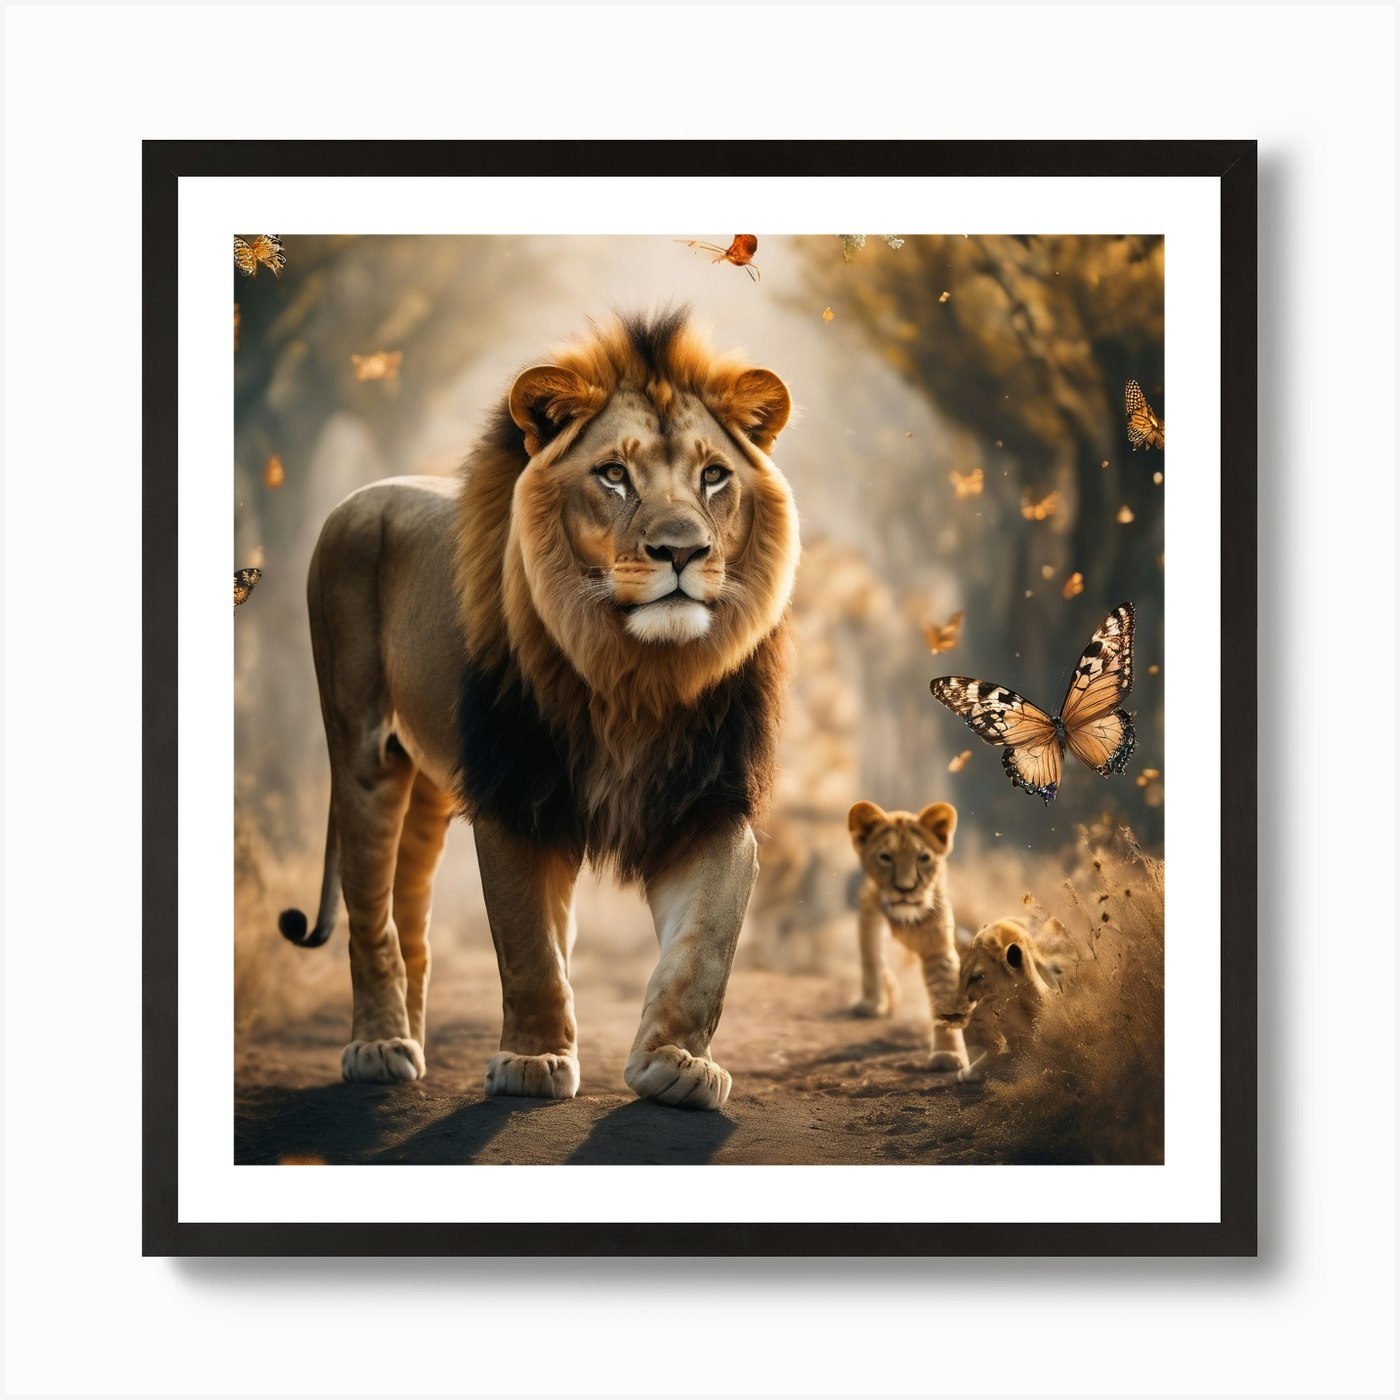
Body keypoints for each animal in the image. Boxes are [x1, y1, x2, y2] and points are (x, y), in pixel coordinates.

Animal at [277, 308, 799, 1109]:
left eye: (714, 475)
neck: (635, 673)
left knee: (412, 916)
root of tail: (362, 496)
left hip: (431, 781)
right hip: (361, 747)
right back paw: (380, 1047)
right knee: (372, 911)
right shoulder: (515, 796)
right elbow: (529, 947)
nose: (682, 551)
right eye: (614, 474)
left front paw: (676, 1063)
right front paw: (533, 1062)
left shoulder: (712, 802)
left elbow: (705, 946)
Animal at [846, 800, 969, 1072]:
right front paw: (872, 1002)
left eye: (923, 858)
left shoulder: (938, 948)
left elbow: (944, 1001)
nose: (905, 889)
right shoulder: (869, 909)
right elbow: (871, 958)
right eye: (885, 857)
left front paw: (947, 1055)